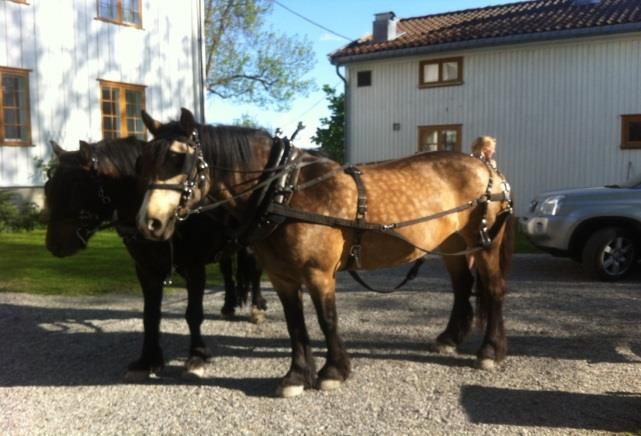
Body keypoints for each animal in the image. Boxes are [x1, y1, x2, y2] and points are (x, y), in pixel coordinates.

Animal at [45, 135, 264, 378]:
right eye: (49, 187)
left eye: (76, 187)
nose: (53, 244)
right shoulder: (146, 269)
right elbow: (150, 315)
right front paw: (148, 360)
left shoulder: (194, 267)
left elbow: (193, 313)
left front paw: (197, 357)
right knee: (227, 271)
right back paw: (228, 306)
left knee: (255, 271)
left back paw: (257, 308)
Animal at [138, 110, 512, 398]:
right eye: (143, 160)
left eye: (179, 158)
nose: (149, 223)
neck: (283, 192)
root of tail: (487, 168)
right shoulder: (282, 277)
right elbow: (295, 324)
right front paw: (296, 376)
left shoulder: (319, 274)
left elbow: (326, 319)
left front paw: (333, 371)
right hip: (452, 245)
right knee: (462, 287)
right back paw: (450, 338)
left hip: (485, 244)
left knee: (493, 290)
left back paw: (490, 351)